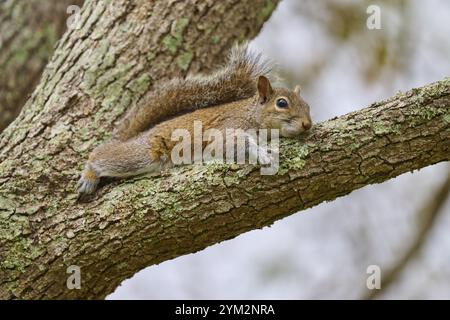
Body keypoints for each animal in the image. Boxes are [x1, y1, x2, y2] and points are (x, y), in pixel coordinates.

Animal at [77, 44, 312, 196]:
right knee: (101, 155)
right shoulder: (228, 127)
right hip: (142, 154)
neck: (251, 113)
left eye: (308, 106)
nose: (307, 124)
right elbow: (235, 143)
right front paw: (262, 153)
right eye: (281, 103)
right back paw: (89, 176)